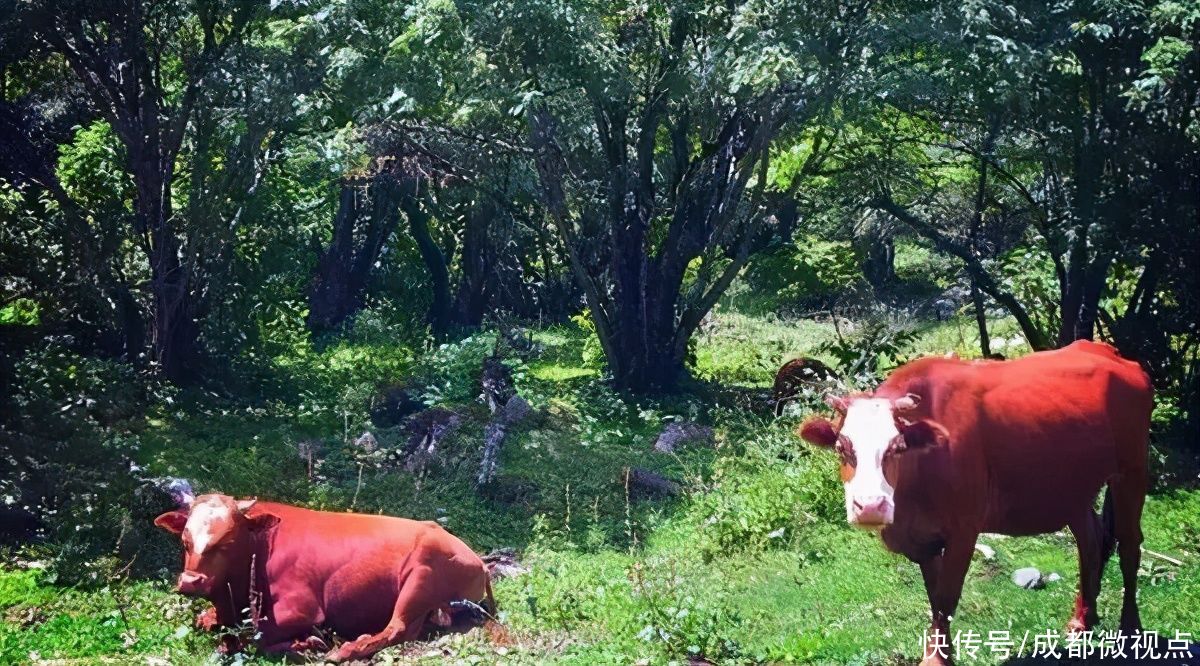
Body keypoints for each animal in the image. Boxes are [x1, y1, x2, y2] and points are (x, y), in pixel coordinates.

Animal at [154, 494, 492, 662]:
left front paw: (307, 642)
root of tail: (478, 559)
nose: (190, 581)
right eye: (185, 539)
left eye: (227, 540)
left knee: (396, 628)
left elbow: (252, 637)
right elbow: (209, 622)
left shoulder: (303, 608)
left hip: (421, 576)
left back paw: (345, 649)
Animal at [796, 343, 1152, 666]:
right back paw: (1082, 621)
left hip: (1133, 469)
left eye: (897, 447)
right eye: (842, 447)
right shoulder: (923, 538)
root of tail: (1109, 352)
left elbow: (946, 597)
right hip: (1072, 487)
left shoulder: (963, 530)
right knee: (1090, 541)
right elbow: (934, 596)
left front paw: (937, 659)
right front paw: (940, 653)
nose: (870, 506)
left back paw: (1131, 630)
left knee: (1129, 546)